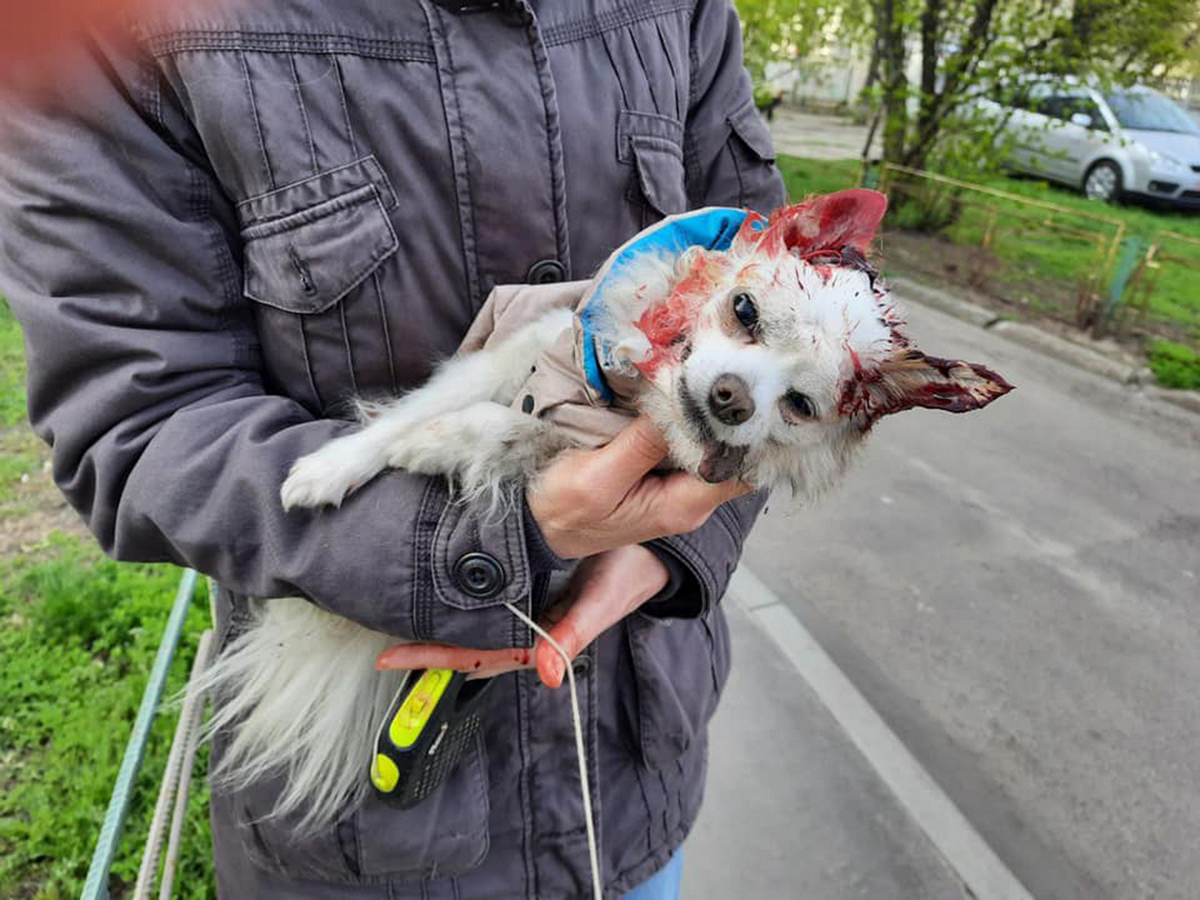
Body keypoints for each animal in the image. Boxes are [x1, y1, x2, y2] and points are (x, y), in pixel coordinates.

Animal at [196, 192, 1012, 840]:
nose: (731, 399)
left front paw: (437, 445)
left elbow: (497, 428)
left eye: (802, 406)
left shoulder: (566, 440)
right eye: (744, 310)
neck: (627, 398)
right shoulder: (519, 348)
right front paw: (334, 465)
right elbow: (422, 408)